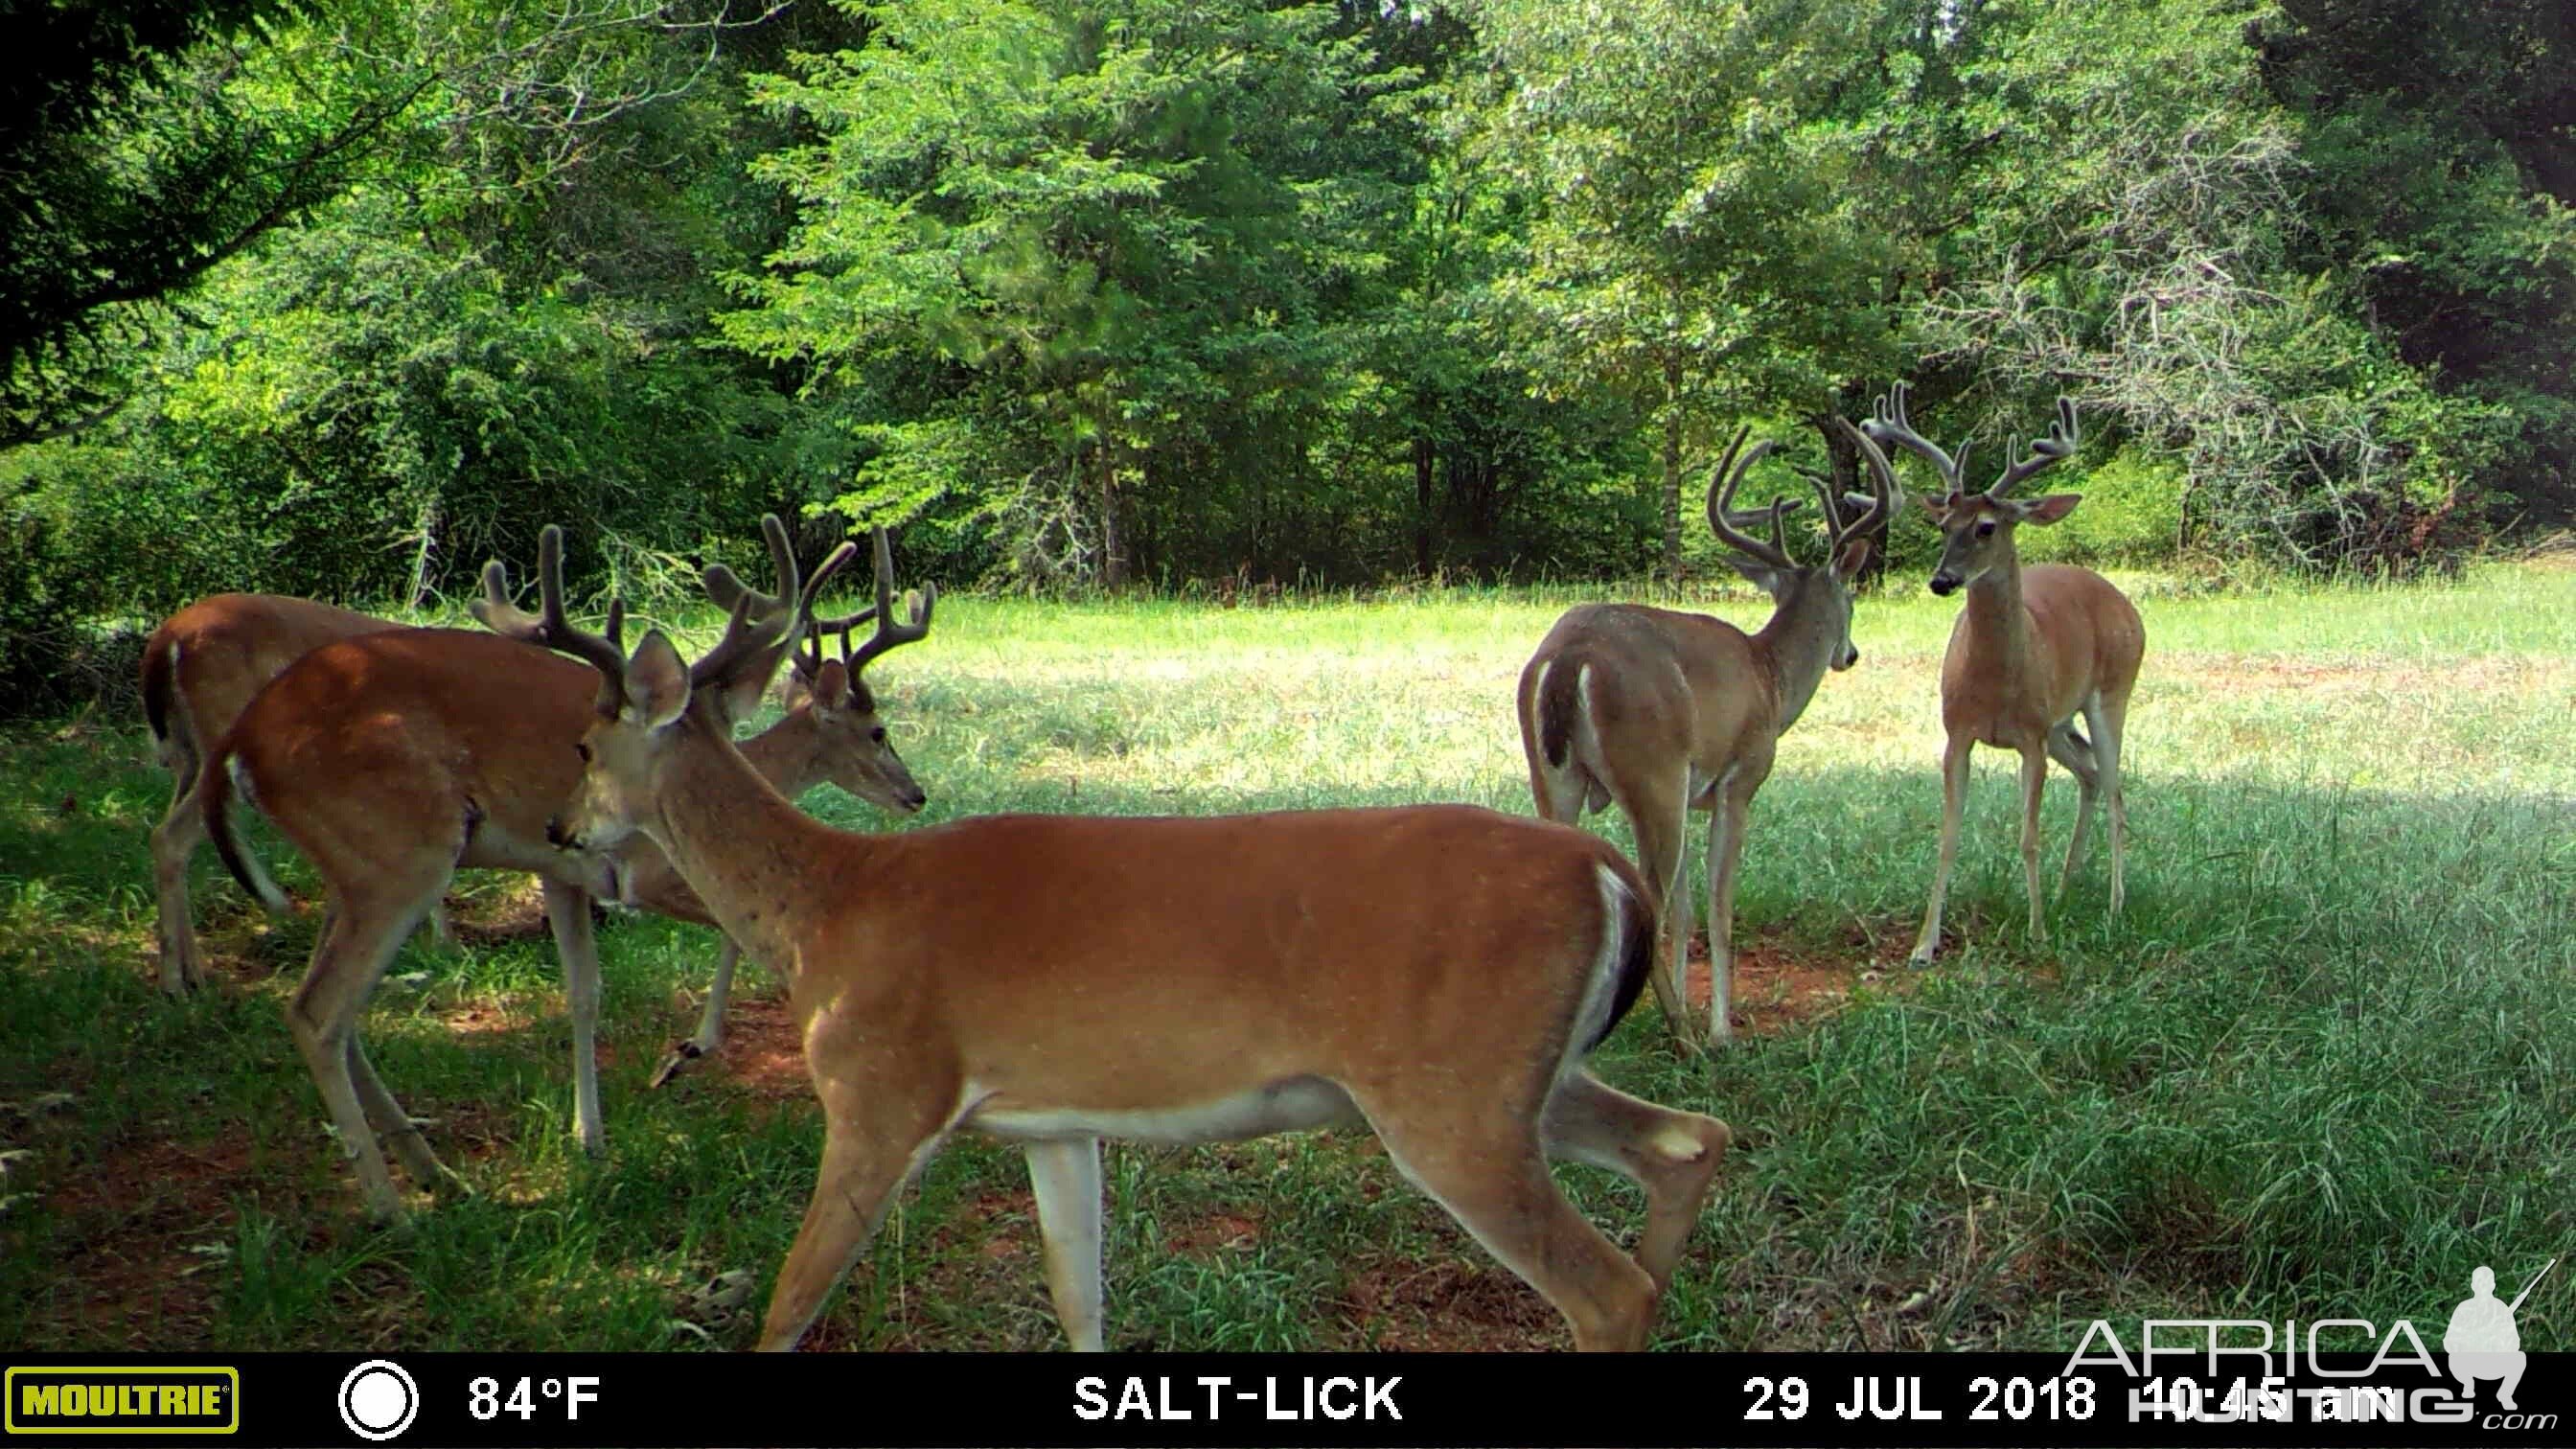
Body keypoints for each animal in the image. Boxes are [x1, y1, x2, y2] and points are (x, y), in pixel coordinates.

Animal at [196, 518, 932, 1216]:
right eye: (878, 732)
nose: (917, 793)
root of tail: (243, 738)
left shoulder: (566, 876)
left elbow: (585, 991)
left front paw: (593, 1137)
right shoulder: (645, 875)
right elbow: (728, 937)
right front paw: (687, 1052)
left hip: (350, 869)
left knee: (326, 1008)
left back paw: (435, 1173)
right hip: (399, 856)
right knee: (319, 1011)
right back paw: (390, 1206)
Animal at [519, 520, 1731, 1350]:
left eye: (583, 744)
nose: (562, 830)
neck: (831, 910)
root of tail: (1608, 873)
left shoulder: (880, 1093)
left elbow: (787, 1305)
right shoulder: (1055, 1122)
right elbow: (1079, 1300)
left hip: (1454, 1098)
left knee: (1607, 1287)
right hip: (1518, 1077)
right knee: (1689, 1142)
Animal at [1504, 415, 1896, 1036]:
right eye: (1852, 600)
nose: (1850, 654)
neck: (1771, 676)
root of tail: (1571, 656)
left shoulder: (1691, 794)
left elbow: (1688, 909)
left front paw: (1694, 1007)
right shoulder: (1739, 781)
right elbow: (1718, 903)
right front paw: (1719, 1027)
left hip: (1556, 776)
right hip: (1652, 770)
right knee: (1648, 895)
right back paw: (1683, 1037)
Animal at [1865, 381, 2143, 958]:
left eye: (1987, 527)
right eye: (1943, 525)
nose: (1941, 581)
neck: (1992, 682)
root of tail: (2125, 602)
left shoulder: (2030, 738)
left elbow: (2028, 836)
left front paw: (2035, 933)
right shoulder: (1957, 733)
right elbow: (1948, 838)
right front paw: (1923, 945)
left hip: (2113, 691)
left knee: (2115, 789)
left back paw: (2113, 905)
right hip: (2060, 723)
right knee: (2088, 772)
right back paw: (2064, 891)